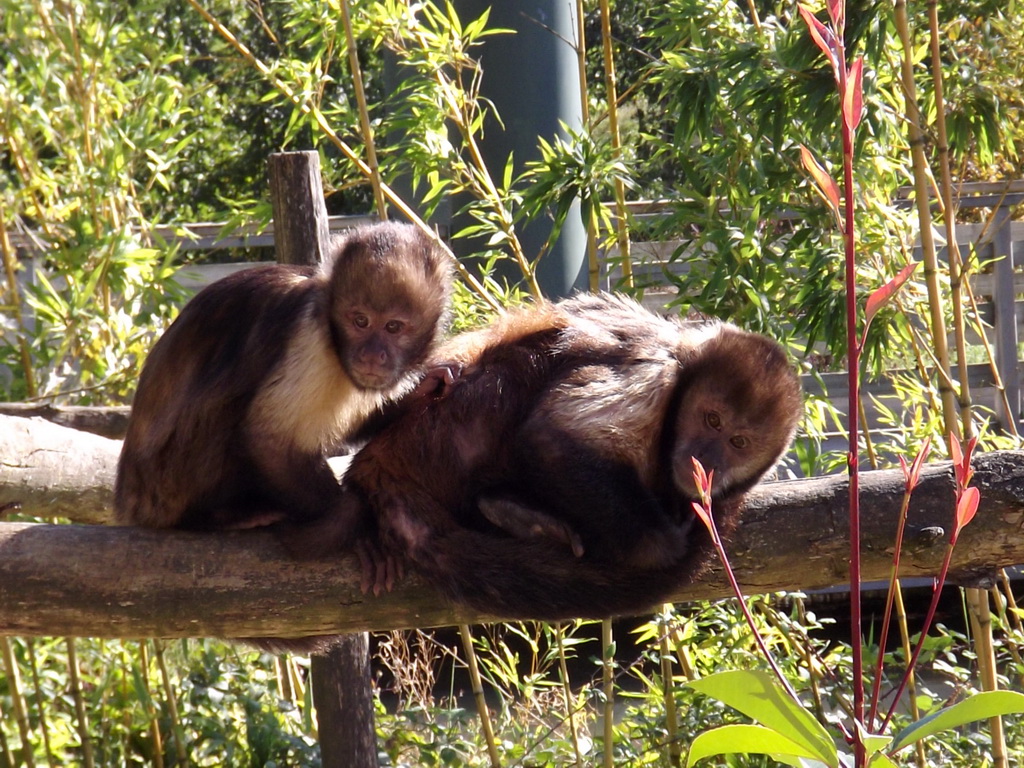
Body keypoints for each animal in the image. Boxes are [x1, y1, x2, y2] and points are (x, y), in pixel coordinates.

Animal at [112, 219, 452, 536]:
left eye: (393, 327)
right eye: (360, 321)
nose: (371, 355)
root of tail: (130, 504)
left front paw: (419, 392)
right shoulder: (310, 334)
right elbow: (269, 439)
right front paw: (351, 516)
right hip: (166, 489)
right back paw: (216, 516)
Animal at [292, 290, 802, 622]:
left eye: (738, 442)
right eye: (711, 420)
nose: (706, 458)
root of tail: (377, 466)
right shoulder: (657, 375)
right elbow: (549, 436)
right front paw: (665, 542)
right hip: (448, 430)